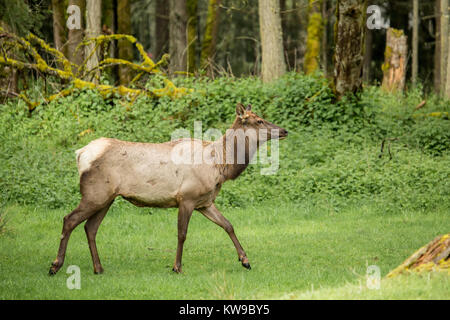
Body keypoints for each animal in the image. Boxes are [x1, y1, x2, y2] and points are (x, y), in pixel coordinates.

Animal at [48, 103, 288, 276]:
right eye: (259, 120)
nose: (284, 130)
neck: (220, 165)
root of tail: (80, 154)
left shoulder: (205, 202)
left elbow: (228, 225)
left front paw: (245, 260)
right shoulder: (187, 197)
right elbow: (182, 234)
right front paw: (177, 267)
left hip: (107, 197)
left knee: (90, 227)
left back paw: (98, 268)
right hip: (95, 193)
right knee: (69, 219)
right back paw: (55, 265)